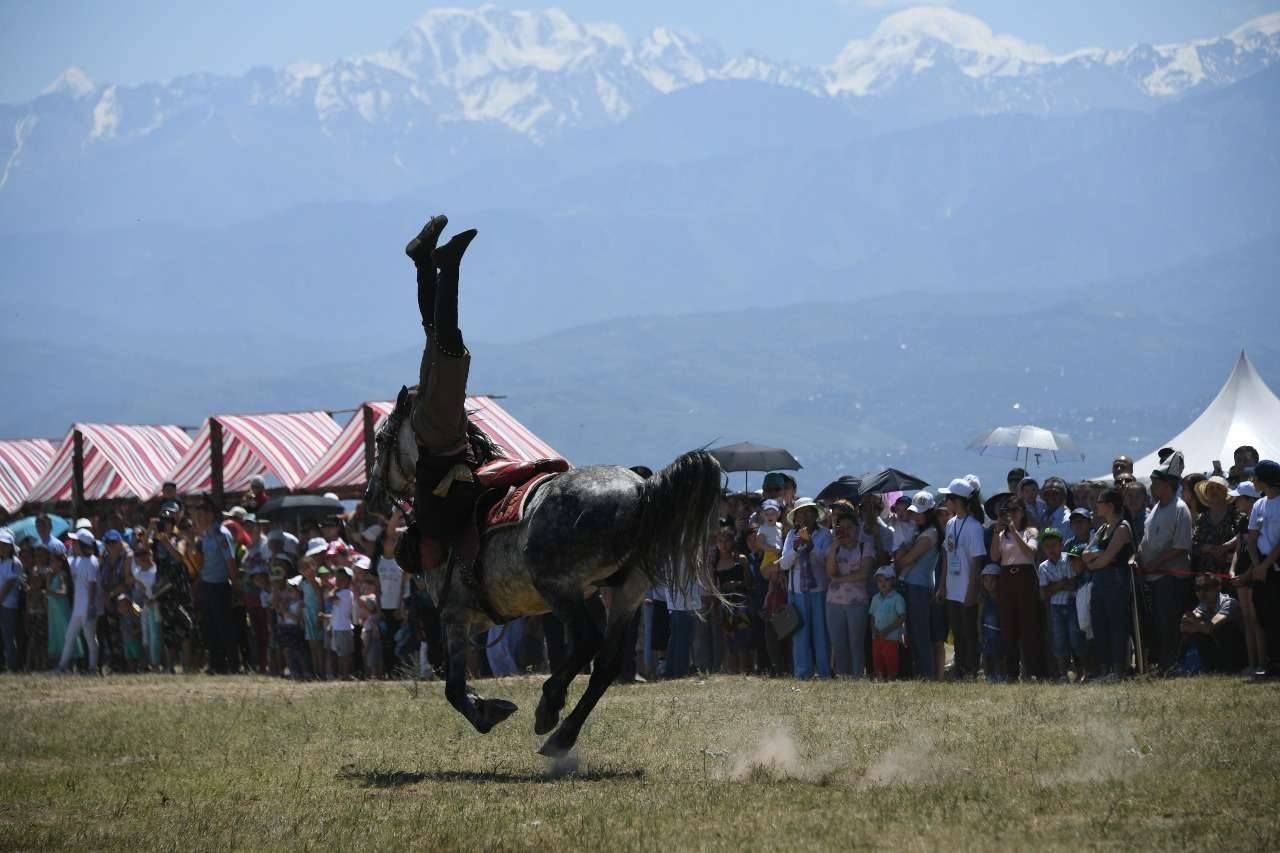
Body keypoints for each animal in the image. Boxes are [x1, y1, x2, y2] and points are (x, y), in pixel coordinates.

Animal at [366, 389, 727, 753]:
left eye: (381, 439)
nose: (370, 495)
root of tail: (642, 490)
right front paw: (483, 703)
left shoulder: (455, 614)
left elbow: (453, 687)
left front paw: (487, 712)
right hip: (626, 594)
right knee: (606, 664)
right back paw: (563, 734)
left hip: (559, 588)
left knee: (586, 640)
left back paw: (549, 704)